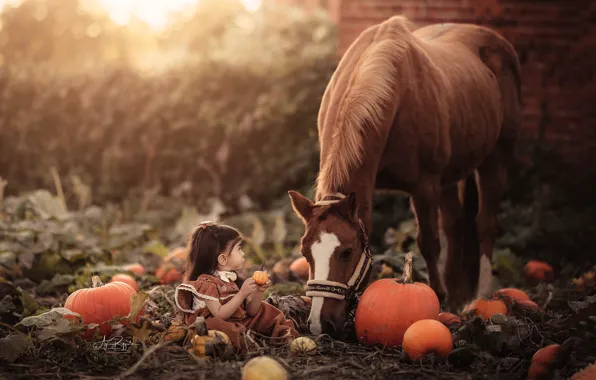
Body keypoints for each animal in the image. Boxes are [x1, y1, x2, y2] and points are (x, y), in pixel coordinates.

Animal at [286, 14, 520, 338]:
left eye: (347, 252)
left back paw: (480, 297)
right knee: (455, 226)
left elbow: (429, 242)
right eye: (305, 253)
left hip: (495, 158)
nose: (322, 324)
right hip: (450, 177)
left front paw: (438, 303)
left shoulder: (425, 186)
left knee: (484, 224)